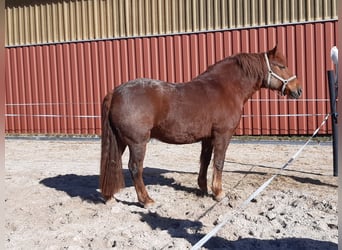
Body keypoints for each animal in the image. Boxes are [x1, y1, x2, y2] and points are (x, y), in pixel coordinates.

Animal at [99, 45, 302, 207]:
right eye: (282, 66)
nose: (298, 90)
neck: (225, 88)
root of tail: (115, 92)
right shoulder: (222, 135)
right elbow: (218, 162)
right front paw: (218, 193)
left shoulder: (207, 138)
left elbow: (204, 161)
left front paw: (203, 188)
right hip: (137, 142)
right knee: (135, 168)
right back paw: (146, 200)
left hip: (120, 141)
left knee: (113, 164)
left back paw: (110, 197)